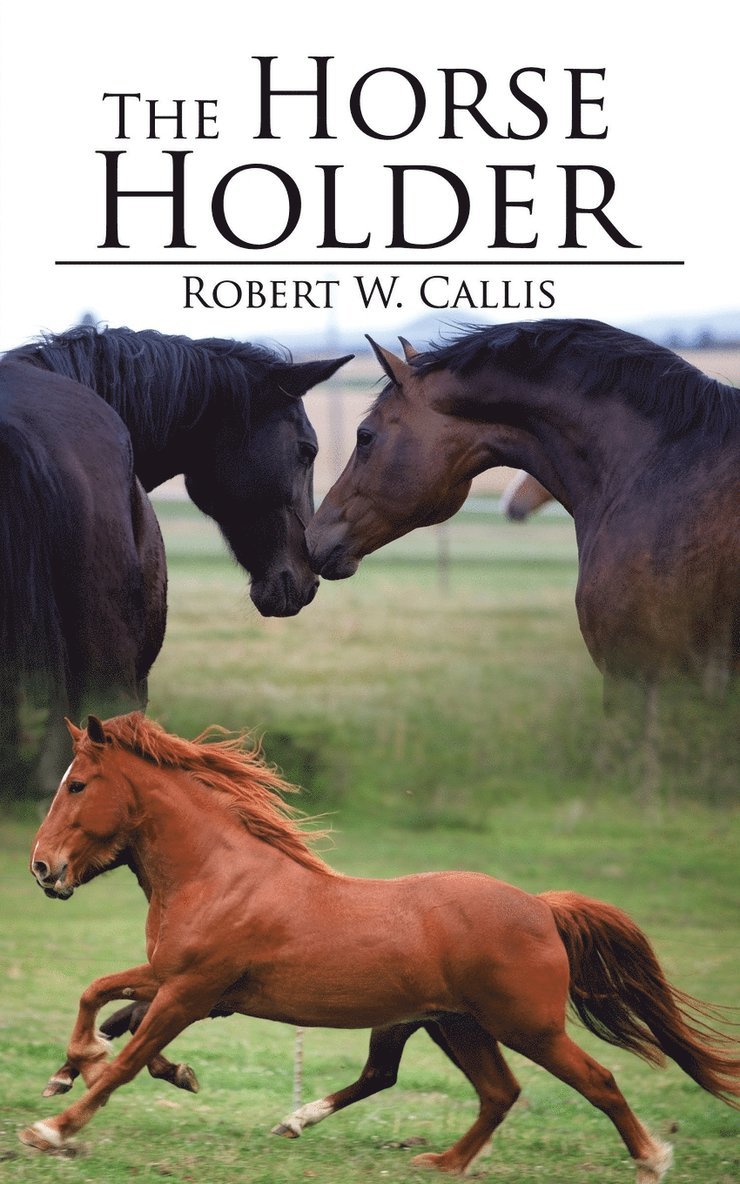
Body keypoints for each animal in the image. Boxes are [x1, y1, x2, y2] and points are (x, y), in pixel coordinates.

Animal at [23, 714, 739, 1181]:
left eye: (77, 785)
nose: (41, 868)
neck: (219, 876)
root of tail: (541, 906)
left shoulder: (193, 990)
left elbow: (127, 1056)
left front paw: (55, 1129)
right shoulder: (174, 978)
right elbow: (97, 996)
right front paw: (77, 1068)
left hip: (525, 1025)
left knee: (596, 1080)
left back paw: (651, 1159)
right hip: (455, 1025)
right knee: (492, 1092)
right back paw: (439, 1160)